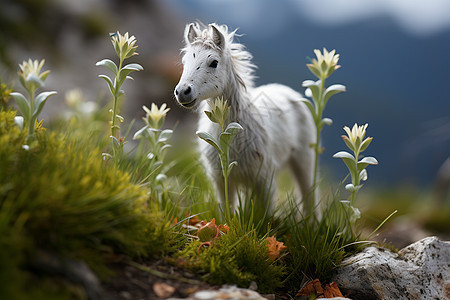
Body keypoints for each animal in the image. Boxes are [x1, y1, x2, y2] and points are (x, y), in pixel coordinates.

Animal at [173, 23, 316, 214]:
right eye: (184, 62)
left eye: (214, 62)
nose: (182, 91)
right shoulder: (221, 179)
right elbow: (226, 210)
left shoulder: (265, 180)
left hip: (305, 159)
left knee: (309, 197)